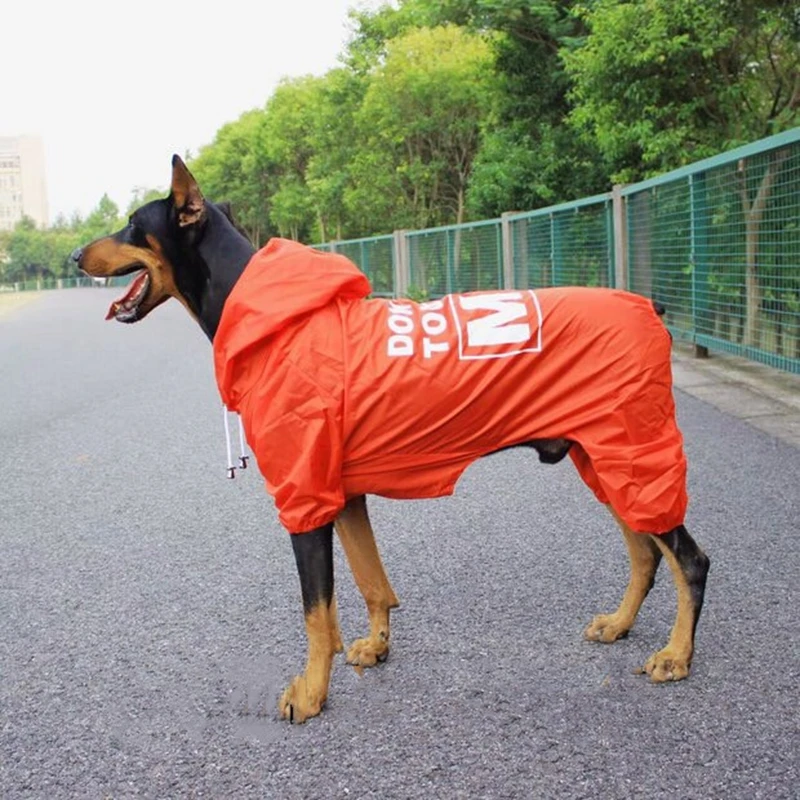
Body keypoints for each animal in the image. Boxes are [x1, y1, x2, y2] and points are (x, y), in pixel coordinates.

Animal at [73, 156, 712, 724]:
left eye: (131, 224)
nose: (75, 255)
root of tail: (646, 306)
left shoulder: (305, 500)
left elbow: (315, 612)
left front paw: (311, 694)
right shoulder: (342, 495)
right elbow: (370, 583)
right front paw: (374, 648)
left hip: (633, 452)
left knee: (690, 561)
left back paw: (677, 655)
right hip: (608, 460)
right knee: (645, 555)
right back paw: (620, 625)